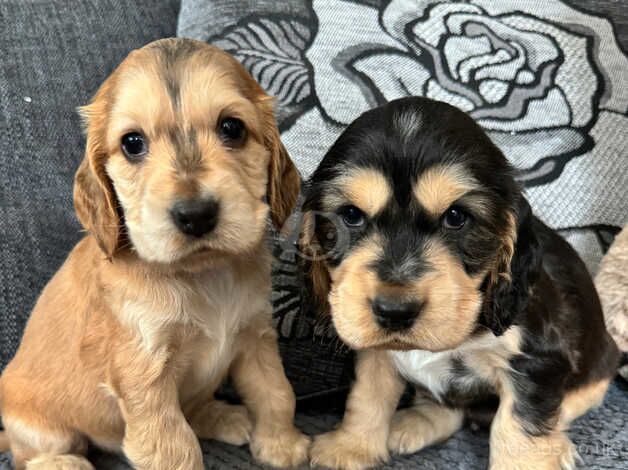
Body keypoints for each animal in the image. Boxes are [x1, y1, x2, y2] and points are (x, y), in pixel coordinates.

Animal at [0, 39, 310, 470]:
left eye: (232, 128)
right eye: (133, 143)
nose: (195, 215)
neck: (202, 277)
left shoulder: (255, 337)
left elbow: (276, 393)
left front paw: (282, 445)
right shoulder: (144, 375)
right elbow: (175, 446)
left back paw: (223, 416)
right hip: (38, 425)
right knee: (31, 453)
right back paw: (64, 463)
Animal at [302, 96, 620, 470]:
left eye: (456, 217)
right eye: (351, 215)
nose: (395, 310)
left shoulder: (537, 362)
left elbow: (518, 429)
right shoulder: (373, 351)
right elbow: (367, 395)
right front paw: (349, 448)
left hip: (598, 371)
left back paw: (560, 447)